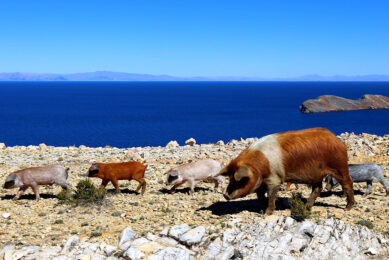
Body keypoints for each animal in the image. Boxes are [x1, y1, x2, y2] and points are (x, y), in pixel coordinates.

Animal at [217, 127, 354, 214]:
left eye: (240, 180)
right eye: (230, 178)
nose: (225, 195)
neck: (261, 166)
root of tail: (338, 141)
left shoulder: (275, 178)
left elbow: (271, 195)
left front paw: (266, 213)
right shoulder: (262, 182)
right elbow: (260, 196)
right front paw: (269, 206)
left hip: (339, 165)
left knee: (348, 183)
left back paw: (347, 208)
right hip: (317, 175)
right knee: (317, 189)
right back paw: (306, 206)